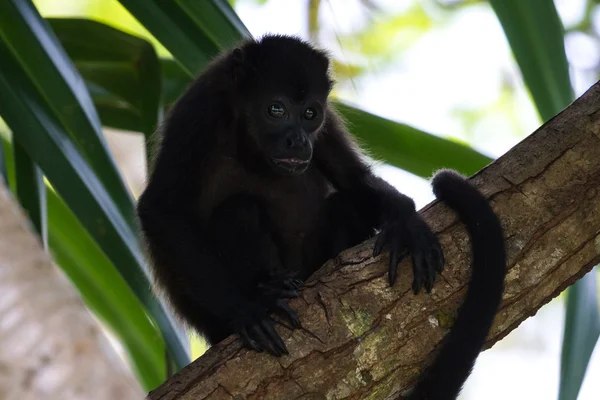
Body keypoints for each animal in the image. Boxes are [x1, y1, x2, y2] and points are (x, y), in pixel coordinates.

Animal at [137, 35, 506, 400]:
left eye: (310, 113)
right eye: (276, 109)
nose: (299, 140)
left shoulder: (326, 123)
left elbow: (351, 177)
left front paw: (407, 223)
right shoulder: (199, 111)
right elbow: (160, 210)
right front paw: (245, 308)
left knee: (342, 205)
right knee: (239, 209)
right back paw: (270, 286)